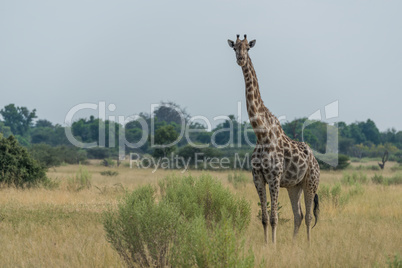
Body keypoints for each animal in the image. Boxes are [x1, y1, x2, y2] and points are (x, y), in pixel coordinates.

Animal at [229, 34, 320, 244]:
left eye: (248, 47)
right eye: (234, 48)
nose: (240, 59)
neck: (261, 134)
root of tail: (316, 162)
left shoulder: (274, 176)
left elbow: (274, 218)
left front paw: (274, 245)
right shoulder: (258, 177)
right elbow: (264, 218)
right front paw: (266, 244)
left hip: (311, 182)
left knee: (308, 216)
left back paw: (309, 244)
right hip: (295, 186)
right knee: (298, 215)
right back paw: (294, 244)